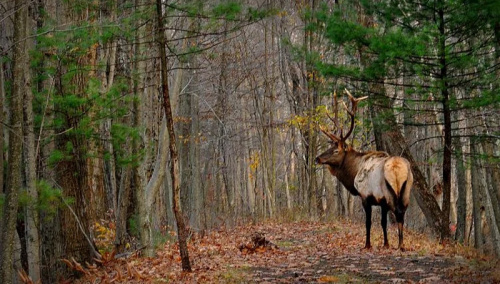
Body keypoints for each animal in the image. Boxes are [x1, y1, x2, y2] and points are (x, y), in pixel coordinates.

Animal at [316, 90, 414, 250]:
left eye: (336, 150)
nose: (317, 158)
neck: (354, 172)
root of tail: (398, 169)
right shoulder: (381, 202)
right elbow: (383, 223)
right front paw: (386, 244)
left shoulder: (366, 195)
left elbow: (368, 223)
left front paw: (367, 245)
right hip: (406, 191)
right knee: (402, 214)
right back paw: (401, 245)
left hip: (390, 193)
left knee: (398, 213)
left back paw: (400, 245)